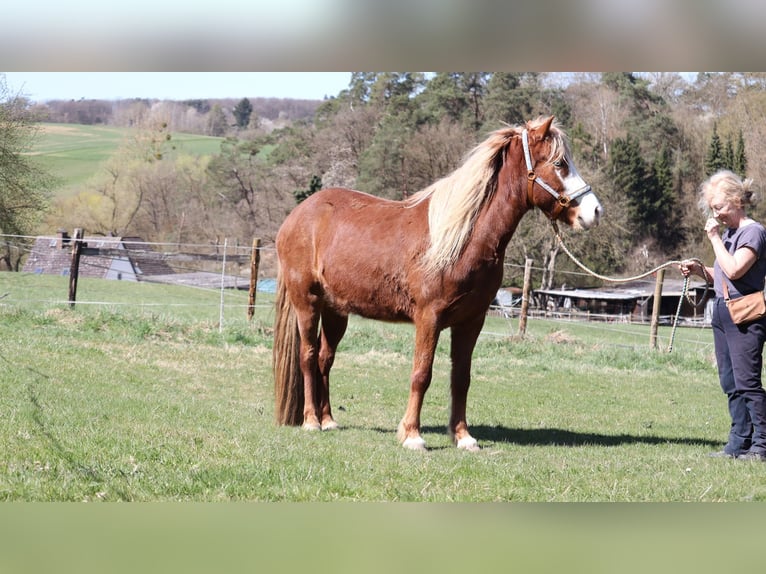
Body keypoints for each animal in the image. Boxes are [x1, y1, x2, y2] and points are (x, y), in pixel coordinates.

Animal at [272, 116, 602, 451]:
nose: (594, 211)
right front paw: (412, 435)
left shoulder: (471, 321)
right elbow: (422, 374)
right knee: (308, 356)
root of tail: (296, 216)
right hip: (307, 303)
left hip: (336, 311)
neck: (462, 238)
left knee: (325, 359)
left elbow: (461, 378)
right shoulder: (428, 318)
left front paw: (463, 437)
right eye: (560, 163)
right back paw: (311, 421)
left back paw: (328, 420)